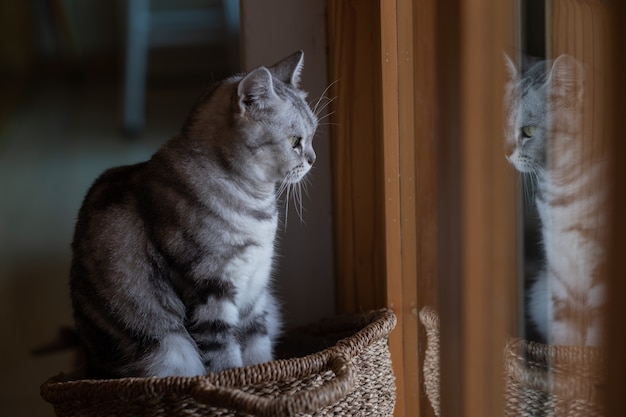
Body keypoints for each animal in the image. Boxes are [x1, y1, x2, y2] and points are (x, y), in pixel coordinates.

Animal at [68, 49, 316, 376]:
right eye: (294, 141)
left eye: (313, 135)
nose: (314, 158)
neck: (256, 207)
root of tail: (89, 361)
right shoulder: (209, 292)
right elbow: (225, 361)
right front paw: (240, 381)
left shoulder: (255, 293)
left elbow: (258, 349)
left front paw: (266, 375)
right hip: (168, 348)